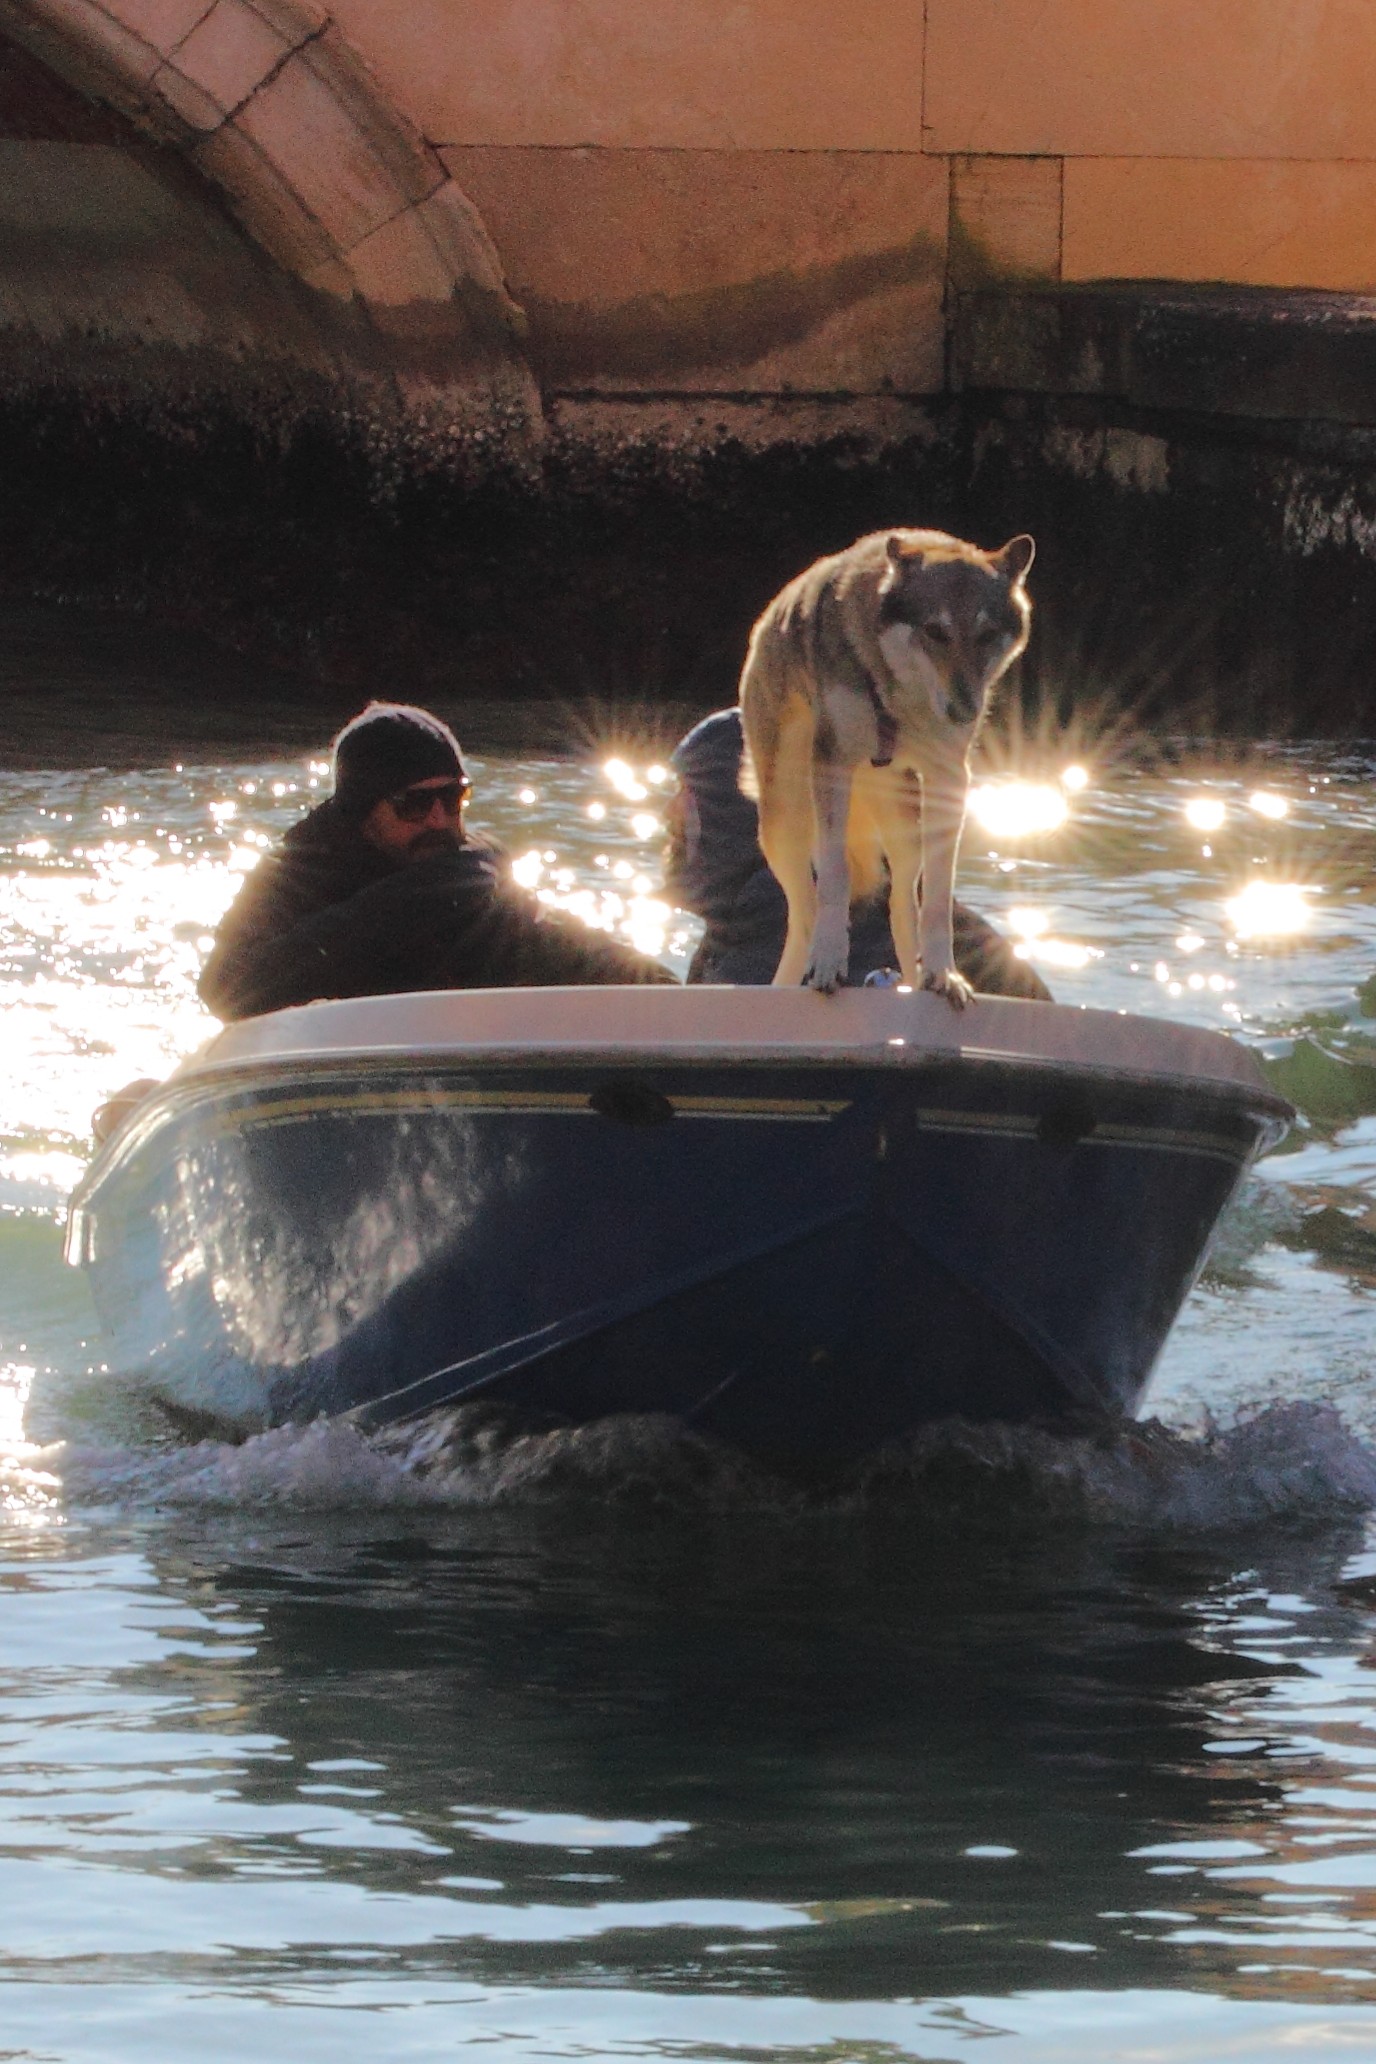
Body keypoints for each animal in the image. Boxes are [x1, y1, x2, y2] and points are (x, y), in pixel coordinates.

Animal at [738, 527, 1034, 1006]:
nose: (965, 712)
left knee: (901, 907)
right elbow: (835, 878)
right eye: (935, 631)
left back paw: (918, 979)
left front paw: (944, 975)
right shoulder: (833, 766)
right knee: (804, 916)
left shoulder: (949, 779)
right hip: (785, 823)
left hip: (905, 829)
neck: (896, 697)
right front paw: (830, 966)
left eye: (987, 634)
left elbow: (937, 900)